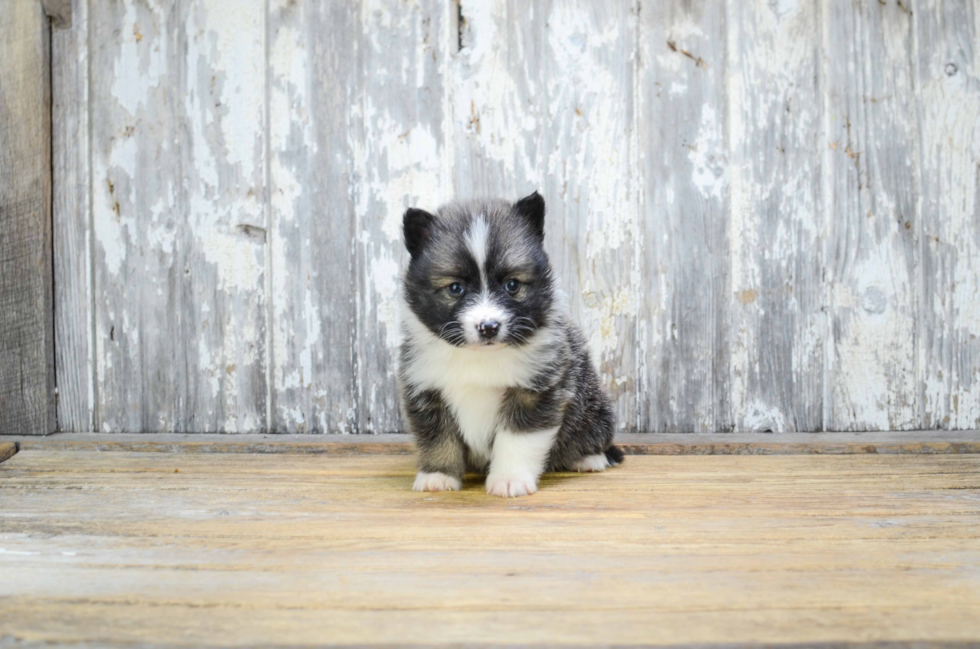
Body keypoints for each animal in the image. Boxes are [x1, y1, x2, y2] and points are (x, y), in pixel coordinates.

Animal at [396, 189, 620, 496]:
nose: (488, 327)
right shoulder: (427, 392)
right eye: (455, 288)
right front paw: (438, 475)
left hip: (594, 407)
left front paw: (509, 479)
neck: (479, 356)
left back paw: (589, 458)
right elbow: (438, 438)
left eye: (512, 285)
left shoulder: (533, 392)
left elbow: (517, 440)